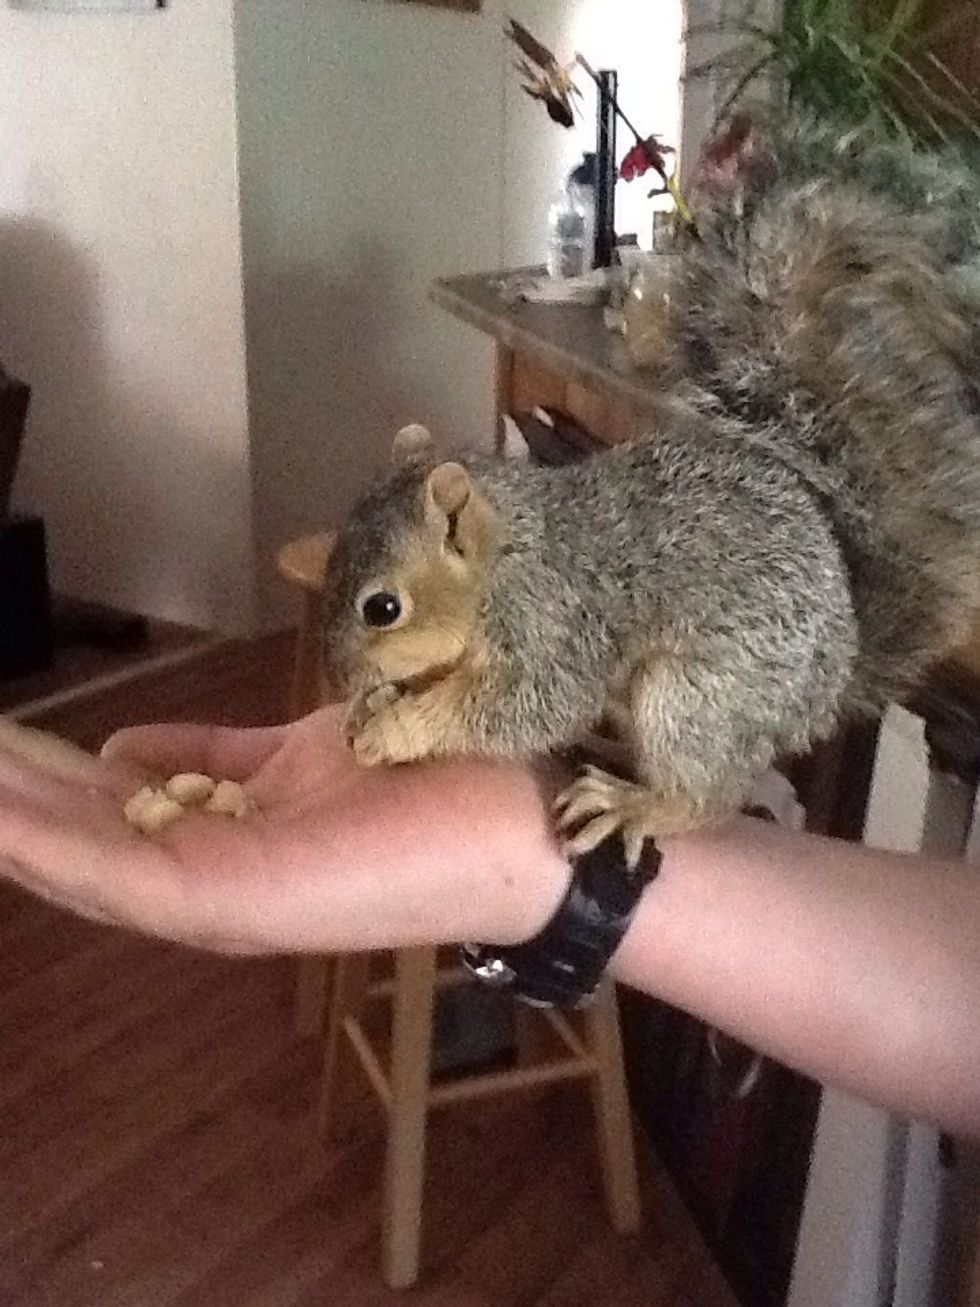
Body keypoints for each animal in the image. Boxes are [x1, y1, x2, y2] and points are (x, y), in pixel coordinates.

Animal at [321, 113, 980, 868]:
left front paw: (397, 727)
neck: (506, 558)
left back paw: (635, 801)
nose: (337, 679)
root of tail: (837, 670)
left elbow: (520, 708)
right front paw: (376, 704)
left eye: (383, 608)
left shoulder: (554, 628)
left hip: (698, 695)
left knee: (706, 799)